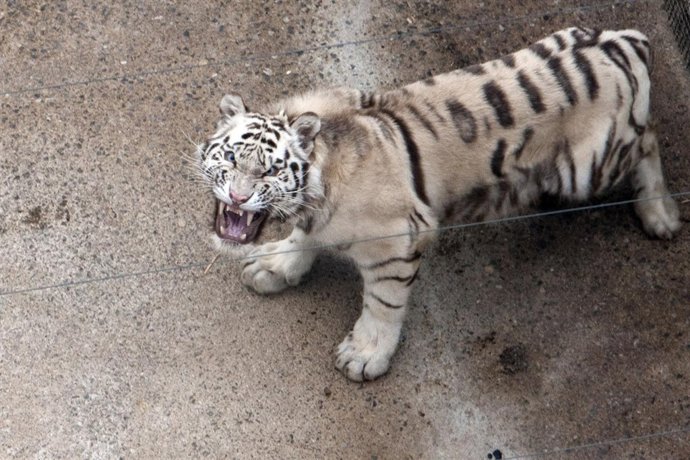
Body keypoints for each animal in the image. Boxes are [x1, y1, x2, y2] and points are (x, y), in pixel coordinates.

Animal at [195, 27, 681, 382]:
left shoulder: (396, 243)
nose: (238, 196)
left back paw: (661, 215)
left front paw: (365, 355)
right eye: (231, 158)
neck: (323, 176)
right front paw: (274, 267)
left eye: (270, 172)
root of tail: (624, 40)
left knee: (650, 137)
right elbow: (303, 237)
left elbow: (383, 302)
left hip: (589, 167)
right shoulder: (316, 219)